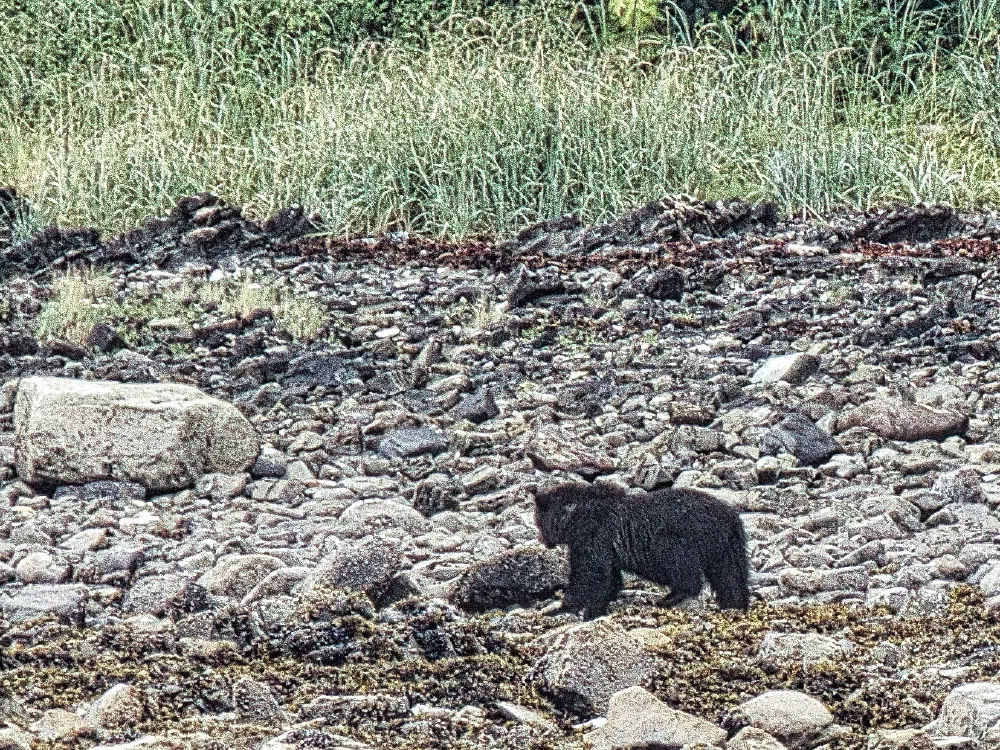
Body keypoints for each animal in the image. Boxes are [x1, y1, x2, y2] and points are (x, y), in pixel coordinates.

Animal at [533, 482, 750, 619]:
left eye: (538, 521)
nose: (543, 540)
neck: (574, 519)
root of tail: (731, 516)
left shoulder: (594, 535)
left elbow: (590, 573)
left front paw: (565, 608)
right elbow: (609, 577)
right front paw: (595, 607)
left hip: (681, 537)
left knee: (681, 564)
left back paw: (670, 597)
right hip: (726, 548)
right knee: (730, 576)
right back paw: (734, 604)